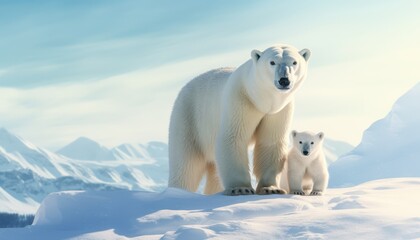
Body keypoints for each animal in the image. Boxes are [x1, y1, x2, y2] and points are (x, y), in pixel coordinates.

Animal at [168, 44, 312, 196]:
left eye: (294, 62)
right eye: (272, 62)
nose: (284, 80)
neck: (260, 99)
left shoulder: (279, 110)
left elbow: (270, 142)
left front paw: (271, 189)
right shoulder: (240, 99)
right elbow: (234, 137)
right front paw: (241, 188)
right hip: (189, 118)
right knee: (186, 166)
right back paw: (177, 191)